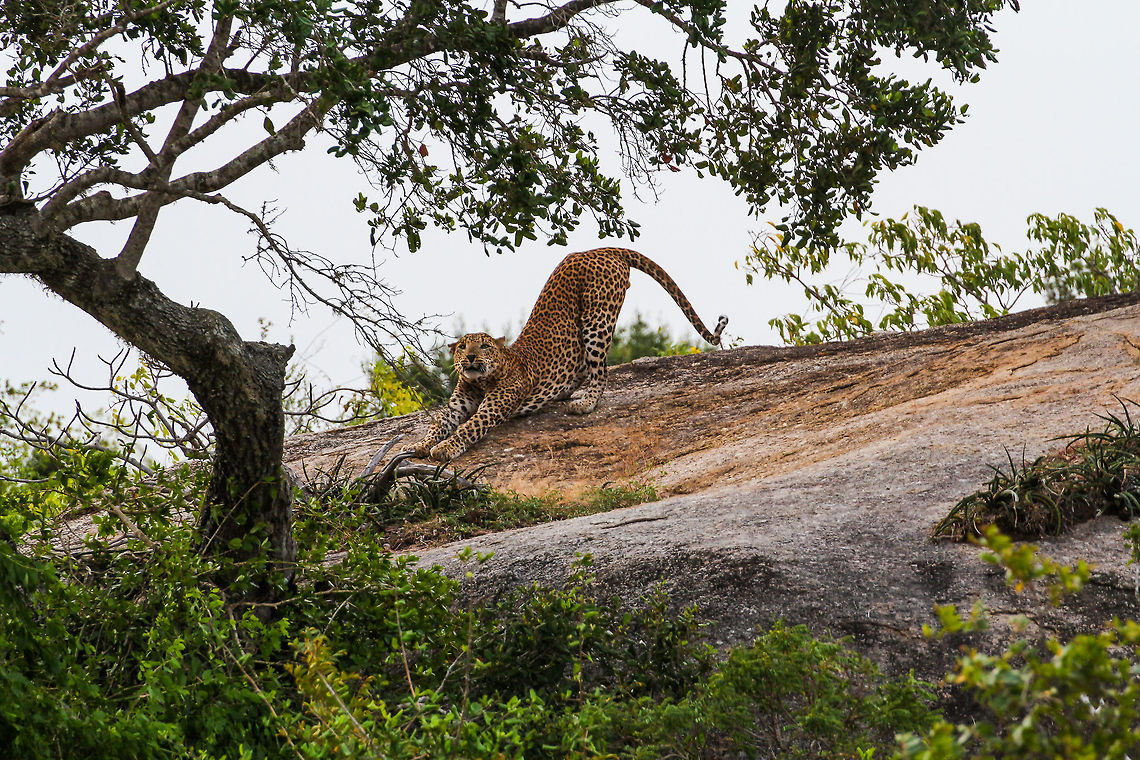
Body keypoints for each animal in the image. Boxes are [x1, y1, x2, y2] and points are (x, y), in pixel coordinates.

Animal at [410, 247, 728, 463]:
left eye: (484, 346)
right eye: (463, 346)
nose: (471, 359)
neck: (481, 380)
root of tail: (602, 248)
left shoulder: (493, 407)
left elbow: (469, 427)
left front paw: (444, 449)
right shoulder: (456, 407)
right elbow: (437, 424)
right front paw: (418, 445)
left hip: (597, 320)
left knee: (600, 370)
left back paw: (585, 404)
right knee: (585, 366)